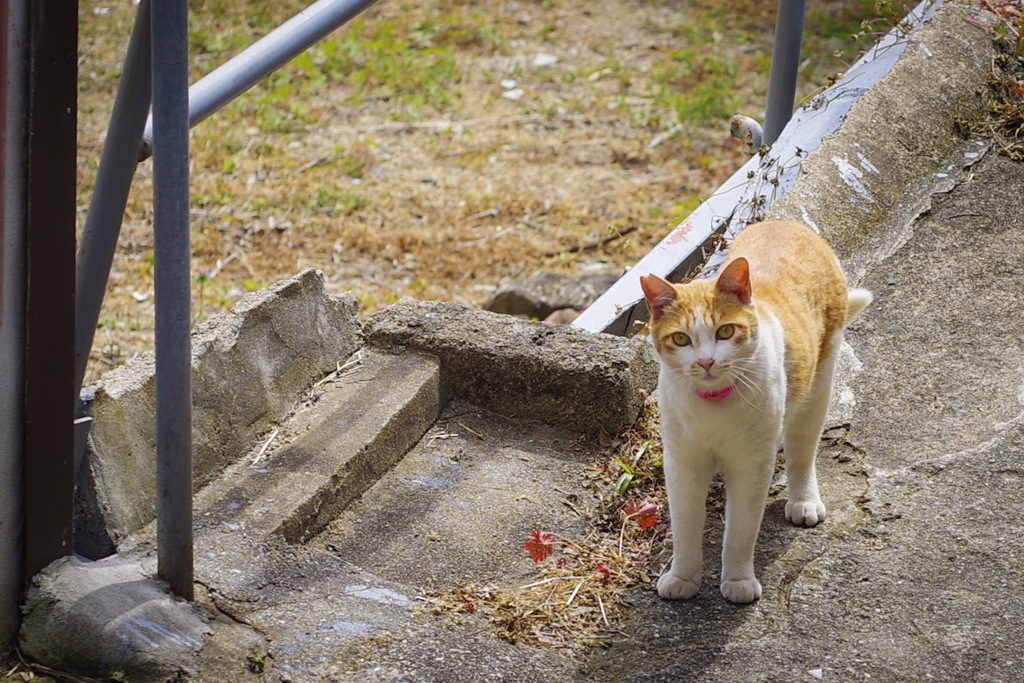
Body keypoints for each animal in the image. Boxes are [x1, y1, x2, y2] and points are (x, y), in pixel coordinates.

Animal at [638, 220, 872, 602]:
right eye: (681, 339)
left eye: (725, 332)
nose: (706, 361)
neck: (714, 405)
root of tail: (787, 222)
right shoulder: (683, 463)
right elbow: (686, 525)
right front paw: (683, 576)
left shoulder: (751, 467)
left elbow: (741, 531)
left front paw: (738, 581)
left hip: (818, 386)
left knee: (802, 451)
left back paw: (803, 498)